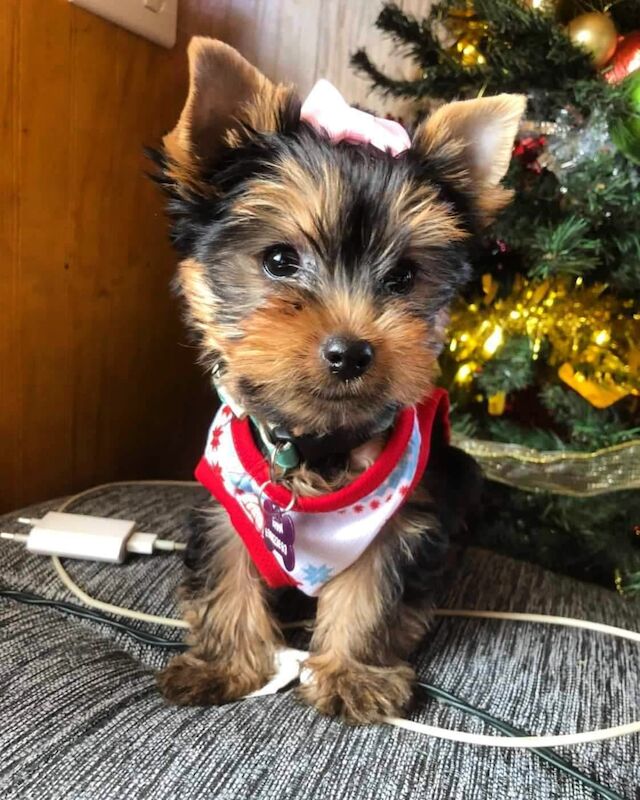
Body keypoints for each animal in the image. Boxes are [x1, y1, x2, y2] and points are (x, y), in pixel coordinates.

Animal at [154, 37, 524, 724]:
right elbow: (226, 570)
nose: (350, 352)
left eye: (404, 277)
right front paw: (225, 665)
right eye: (279, 260)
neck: (316, 441)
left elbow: (371, 592)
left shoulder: (400, 520)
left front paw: (353, 673)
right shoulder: (228, 501)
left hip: (457, 473)